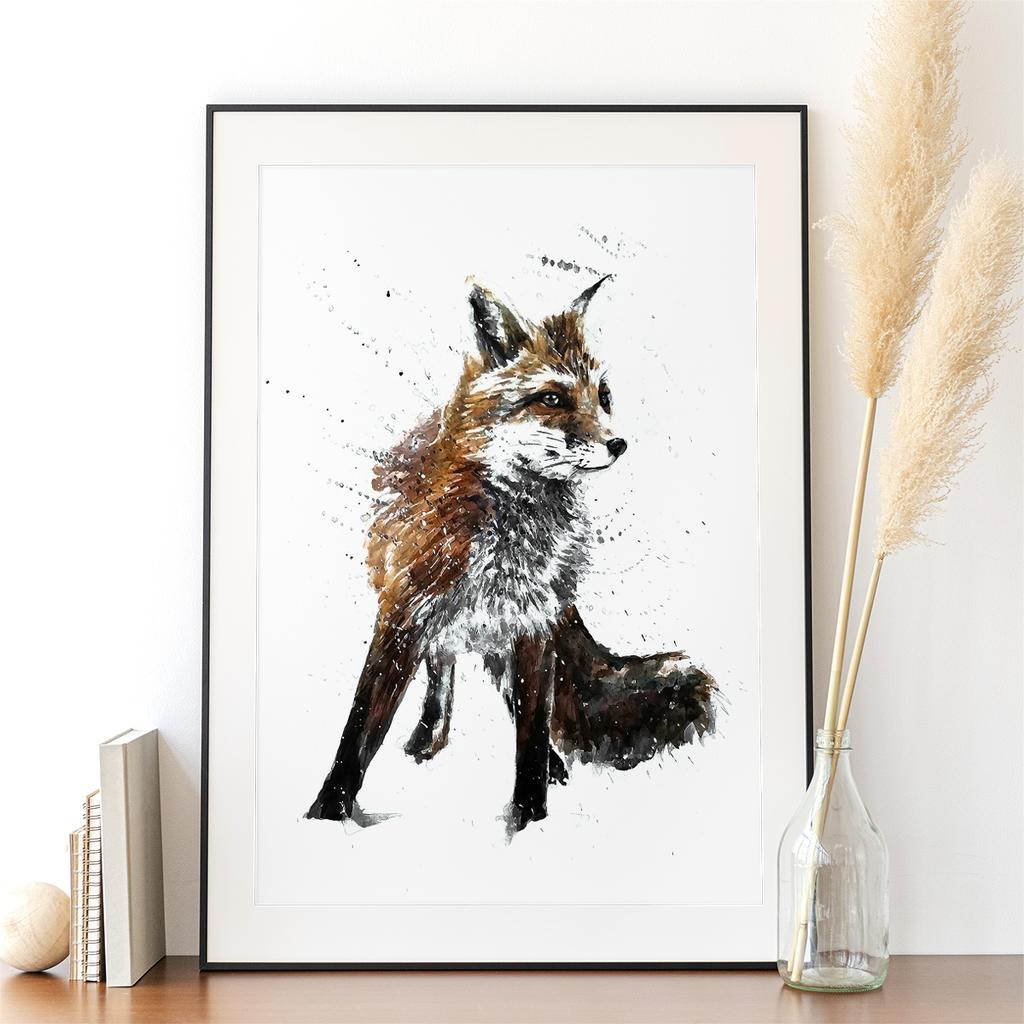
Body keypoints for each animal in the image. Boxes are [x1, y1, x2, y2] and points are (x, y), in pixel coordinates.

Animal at [307, 276, 716, 832]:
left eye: (603, 396)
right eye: (552, 398)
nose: (619, 443)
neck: (507, 531)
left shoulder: (533, 624)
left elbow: (531, 732)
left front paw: (529, 814)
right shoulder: (402, 614)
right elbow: (359, 727)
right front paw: (328, 811)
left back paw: (546, 764)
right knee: (443, 667)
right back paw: (429, 736)